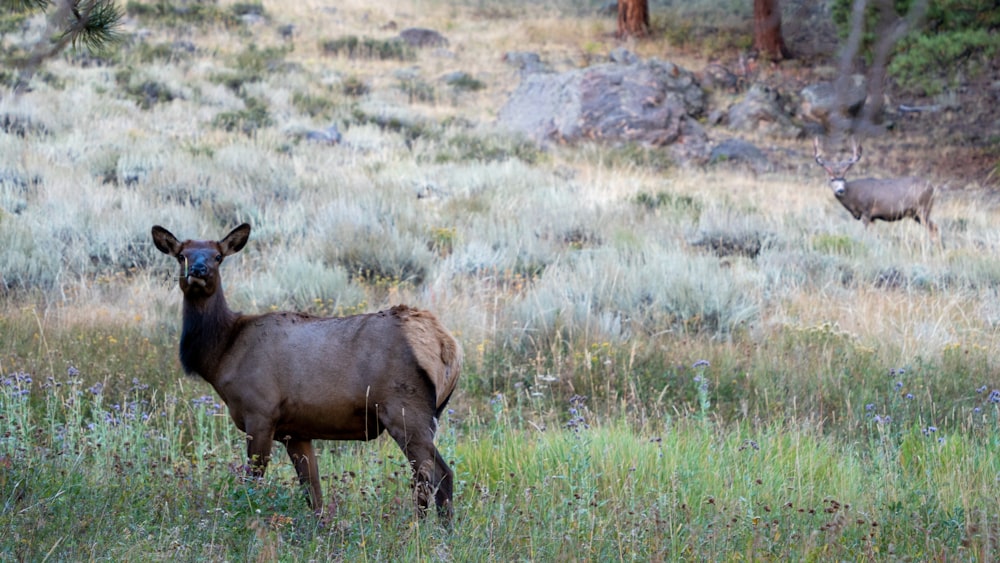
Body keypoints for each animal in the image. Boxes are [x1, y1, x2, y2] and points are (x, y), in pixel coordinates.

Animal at [150, 224, 462, 520]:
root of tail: (450, 347)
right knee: (423, 477)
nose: (198, 270)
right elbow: (314, 494)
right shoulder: (295, 431)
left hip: (405, 409)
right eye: (181, 255)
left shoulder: (260, 412)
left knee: (440, 475)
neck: (223, 353)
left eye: (218, 256)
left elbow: (254, 483)